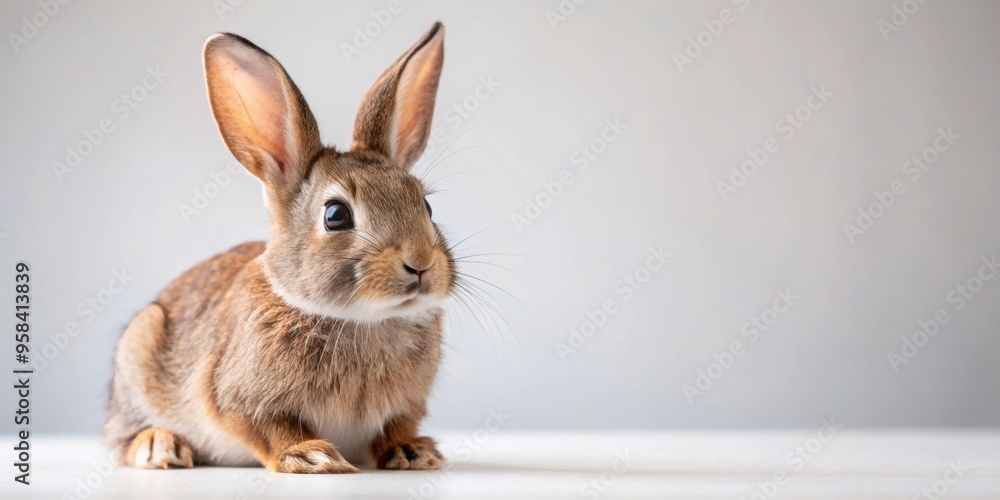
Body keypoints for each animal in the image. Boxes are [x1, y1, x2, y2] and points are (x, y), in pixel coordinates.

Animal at [103, 22, 453, 473]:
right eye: (336, 215)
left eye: (426, 205)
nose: (421, 265)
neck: (363, 319)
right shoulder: (240, 401)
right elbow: (271, 427)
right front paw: (311, 455)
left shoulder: (406, 406)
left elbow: (397, 426)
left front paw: (413, 451)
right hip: (138, 353)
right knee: (125, 438)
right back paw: (160, 446)